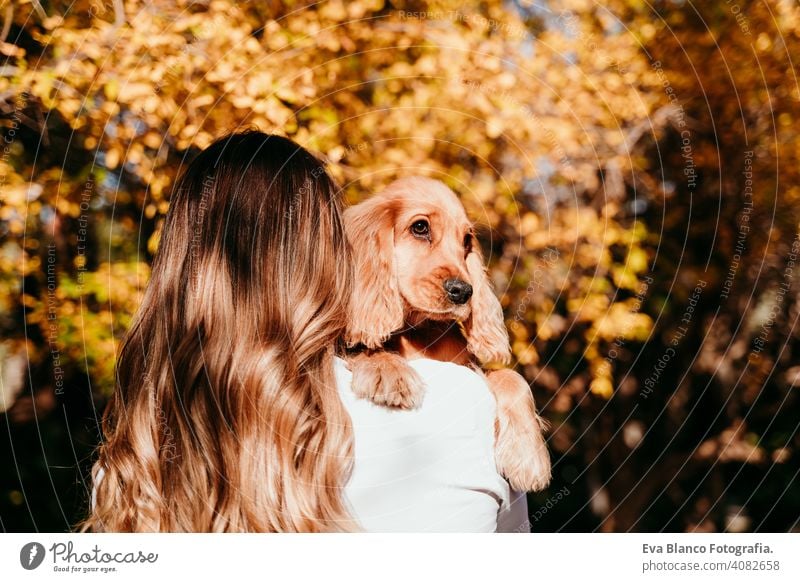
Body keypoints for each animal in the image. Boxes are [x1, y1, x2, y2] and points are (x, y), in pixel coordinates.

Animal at [344, 177, 552, 492]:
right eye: (420, 227)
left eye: (466, 241)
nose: (464, 292)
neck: (417, 330)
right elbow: (361, 348)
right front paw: (389, 371)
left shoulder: (468, 367)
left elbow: (512, 378)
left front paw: (527, 455)